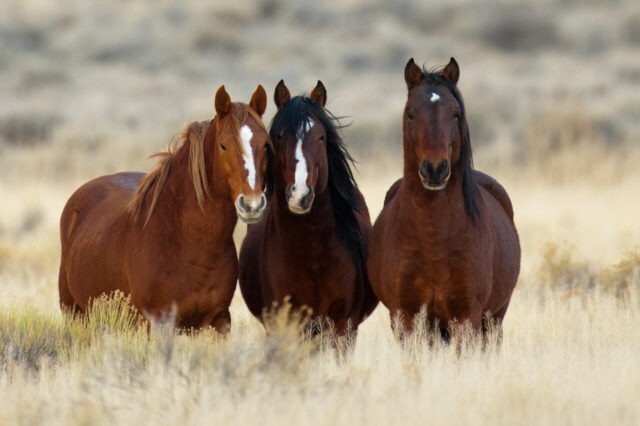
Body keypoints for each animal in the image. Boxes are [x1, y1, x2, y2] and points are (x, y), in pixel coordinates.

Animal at [58, 85, 270, 333]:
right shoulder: (157, 323)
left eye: (266, 144)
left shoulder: (218, 321)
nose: (252, 203)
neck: (187, 241)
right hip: (75, 314)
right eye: (223, 145)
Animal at [367, 58, 520, 341]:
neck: (433, 239)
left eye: (455, 113)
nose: (435, 169)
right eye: (410, 113)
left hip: (493, 321)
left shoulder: (467, 315)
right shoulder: (405, 316)